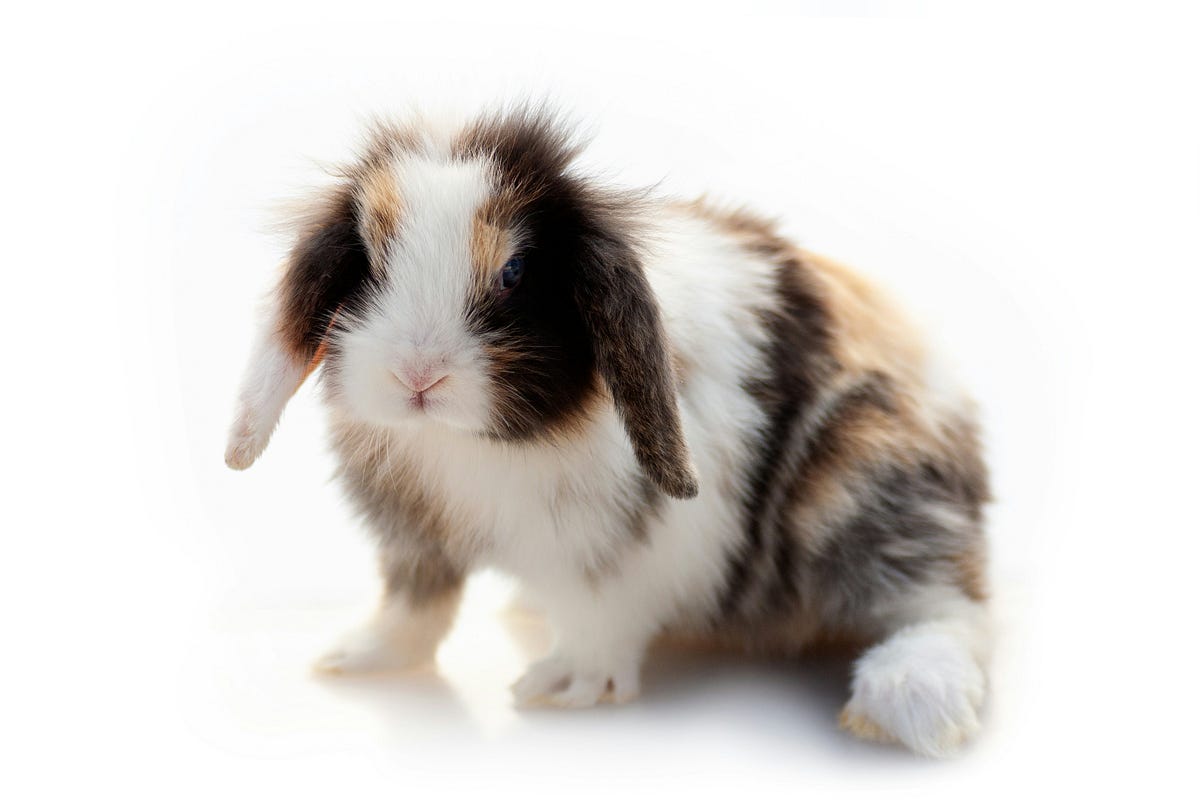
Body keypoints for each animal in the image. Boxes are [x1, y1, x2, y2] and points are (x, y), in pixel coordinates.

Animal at [226, 107, 991, 757]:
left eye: (514, 272)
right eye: (367, 261)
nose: (418, 376)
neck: (469, 444)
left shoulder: (621, 550)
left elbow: (600, 614)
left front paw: (563, 686)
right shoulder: (417, 539)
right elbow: (416, 605)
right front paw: (354, 658)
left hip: (858, 489)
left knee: (948, 604)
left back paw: (907, 695)